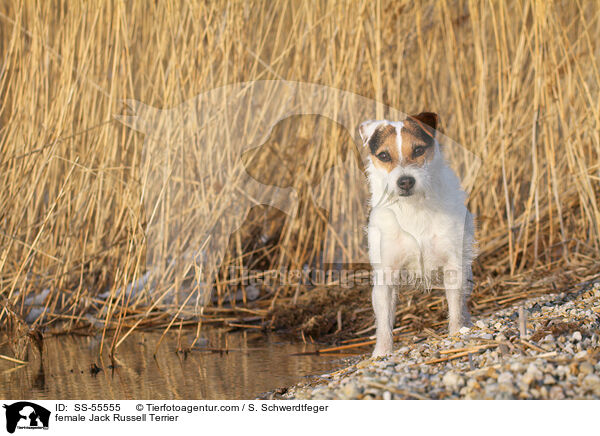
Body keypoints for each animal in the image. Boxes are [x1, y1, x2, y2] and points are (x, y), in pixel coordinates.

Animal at [358, 112, 476, 358]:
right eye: (384, 155)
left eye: (419, 150)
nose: (405, 181)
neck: (413, 207)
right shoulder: (385, 274)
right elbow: (384, 321)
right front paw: (381, 353)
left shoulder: (453, 265)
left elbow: (455, 306)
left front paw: (456, 334)